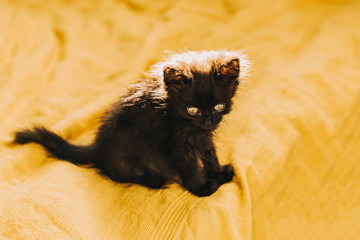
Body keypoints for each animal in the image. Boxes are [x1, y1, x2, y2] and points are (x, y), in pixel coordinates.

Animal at [13, 50, 245, 197]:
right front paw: (203, 188)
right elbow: (191, 168)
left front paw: (219, 173)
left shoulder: (203, 137)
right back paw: (157, 182)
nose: (208, 120)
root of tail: (98, 149)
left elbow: (210, 155)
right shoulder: (178, 145)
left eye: (218, 106)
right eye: (193, 110)